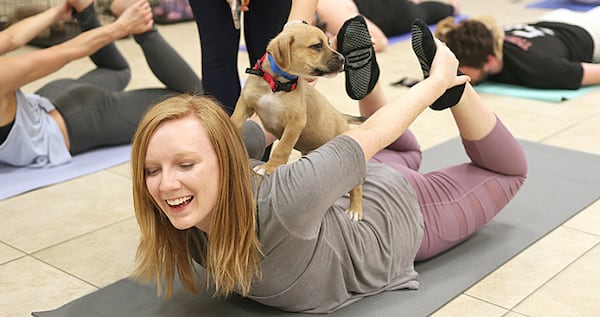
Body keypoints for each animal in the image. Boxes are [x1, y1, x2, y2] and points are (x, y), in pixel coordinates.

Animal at [231, 21, 364, 220]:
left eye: (328, 42)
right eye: (317, 46)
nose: (343, 59)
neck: (277, 84)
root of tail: (342, 117)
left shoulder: (295, 122)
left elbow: (282, 147)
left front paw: (270, 167)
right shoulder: (245, 105)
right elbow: (235, 122)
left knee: (357, 186)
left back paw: (355, 209)